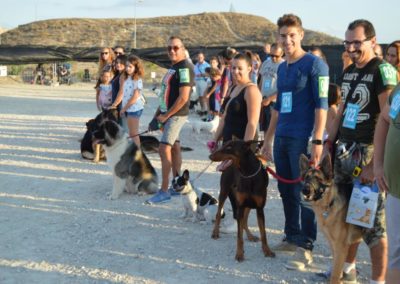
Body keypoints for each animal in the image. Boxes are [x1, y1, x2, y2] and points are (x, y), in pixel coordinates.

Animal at [300, 154, 362, 282]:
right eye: (306, 178)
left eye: (318, 179)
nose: (305, 190)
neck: (330, 203)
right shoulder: (334, 246)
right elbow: (336, 271)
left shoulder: (341, 247)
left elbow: (335, 275)